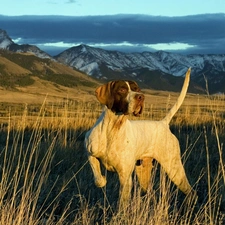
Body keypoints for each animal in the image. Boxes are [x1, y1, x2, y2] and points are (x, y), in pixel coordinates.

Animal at [84, 68, 193, 207]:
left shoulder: (125, 177)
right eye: (122, 90)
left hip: (174, 169)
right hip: (143, 171)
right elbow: (98, 180)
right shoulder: (90, 153)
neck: (113, 129)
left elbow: (122, 205)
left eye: (137, 89)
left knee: (191, 191)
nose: (141, 97)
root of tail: (163, 123)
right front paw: (103, 180)